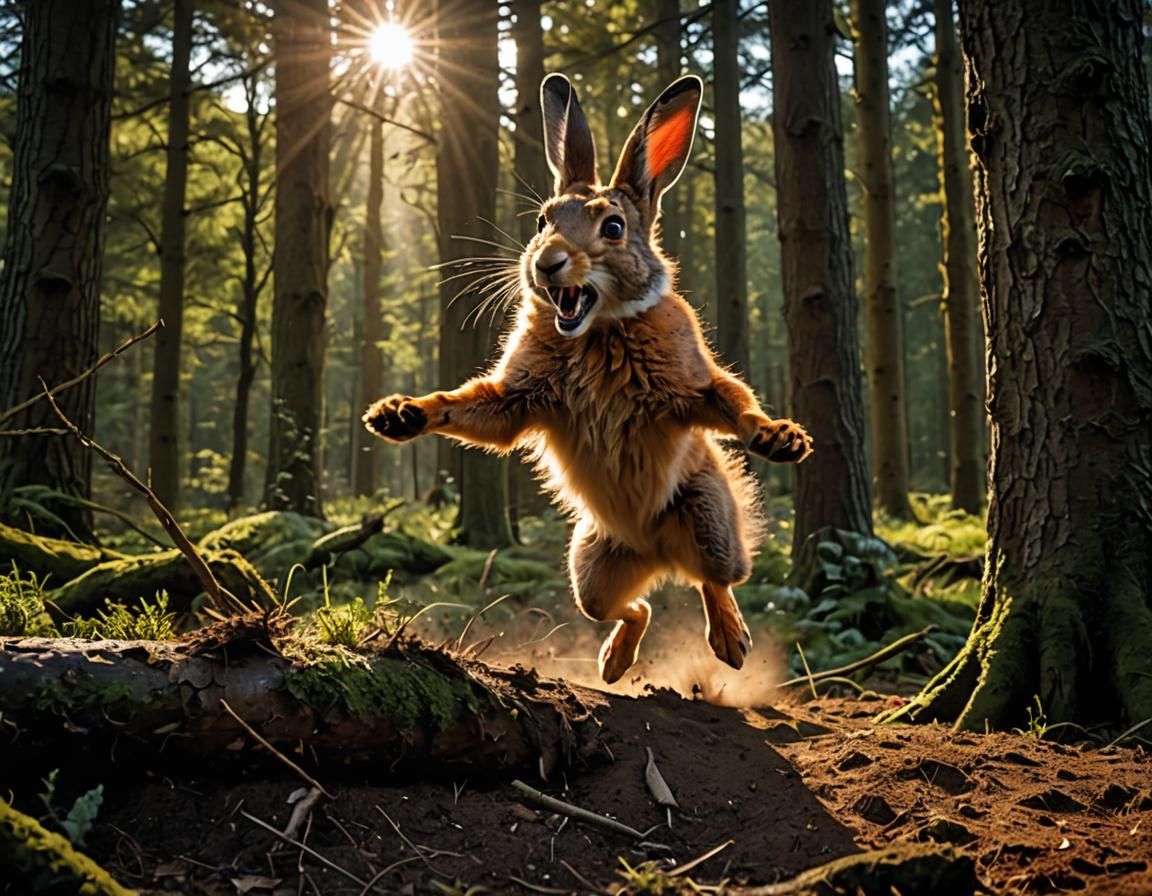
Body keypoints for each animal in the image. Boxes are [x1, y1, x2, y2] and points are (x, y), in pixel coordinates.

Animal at [364, 73, 812, 684]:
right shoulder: (517, 397)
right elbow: (471, 407)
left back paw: (730, 642)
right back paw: (614, 662)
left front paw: (779, 437)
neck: (597, 329)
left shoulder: (690, 386)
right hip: (590, 565)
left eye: (614, 227)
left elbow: (731, 399)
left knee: (716, 580)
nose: (547, 263)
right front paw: (397, 414)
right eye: (542, 221)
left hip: (710, 519)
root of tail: (656, 552)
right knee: (632, 607)